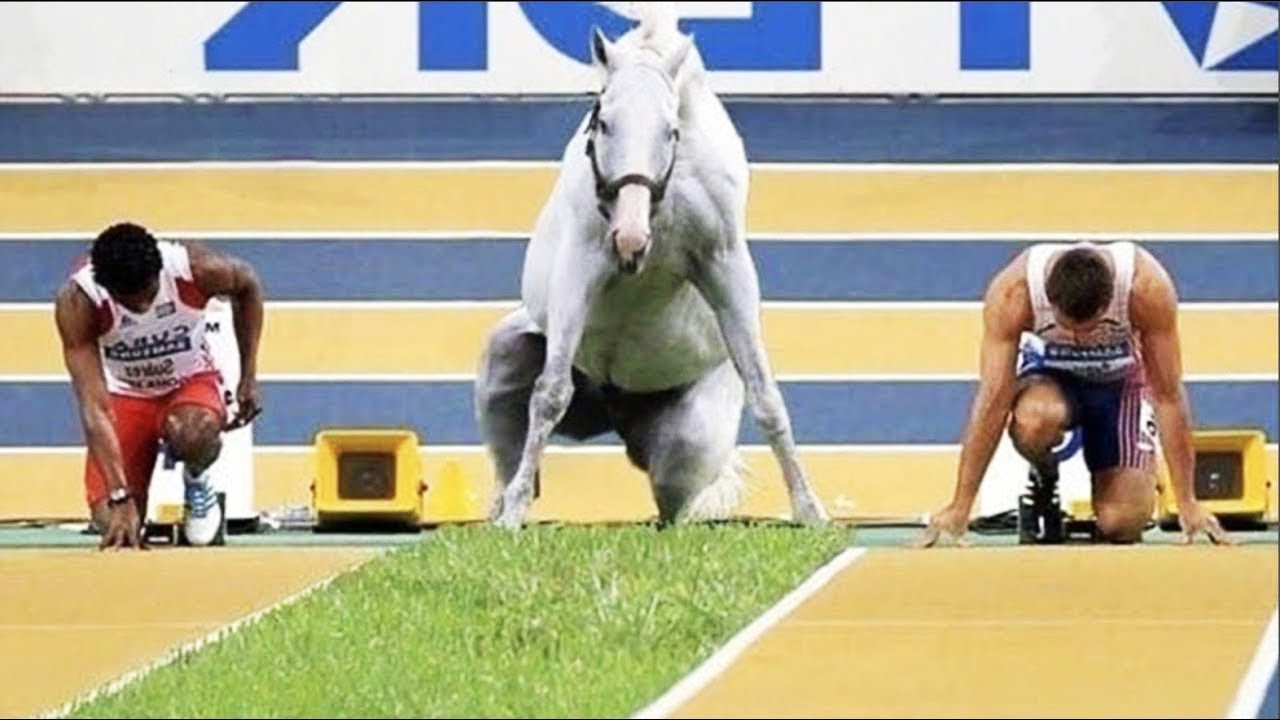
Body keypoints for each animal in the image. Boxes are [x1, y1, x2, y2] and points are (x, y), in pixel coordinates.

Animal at [473, 3, 830, 529]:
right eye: (603, 122)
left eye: (670, 130)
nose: (630, 237)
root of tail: (614, 413)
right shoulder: (579, 267)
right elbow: (550, 393)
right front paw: (514, 512)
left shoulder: (726, 267)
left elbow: (766, 395)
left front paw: (809, 508)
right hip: (508, 355)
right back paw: (506, 499)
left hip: (687, 445)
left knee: (674, 500)